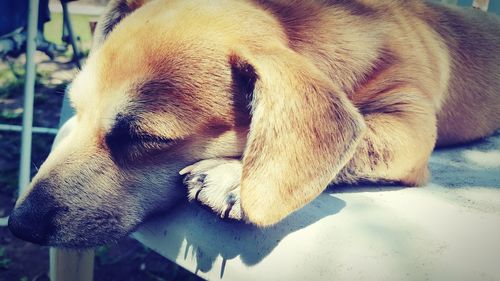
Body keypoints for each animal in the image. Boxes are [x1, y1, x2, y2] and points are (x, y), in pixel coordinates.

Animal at [6, 0, 500, 246]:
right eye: (76, 109)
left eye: (142, 136)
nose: (17, 226)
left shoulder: (409, 125)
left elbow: (363, 140)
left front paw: (233, 175)